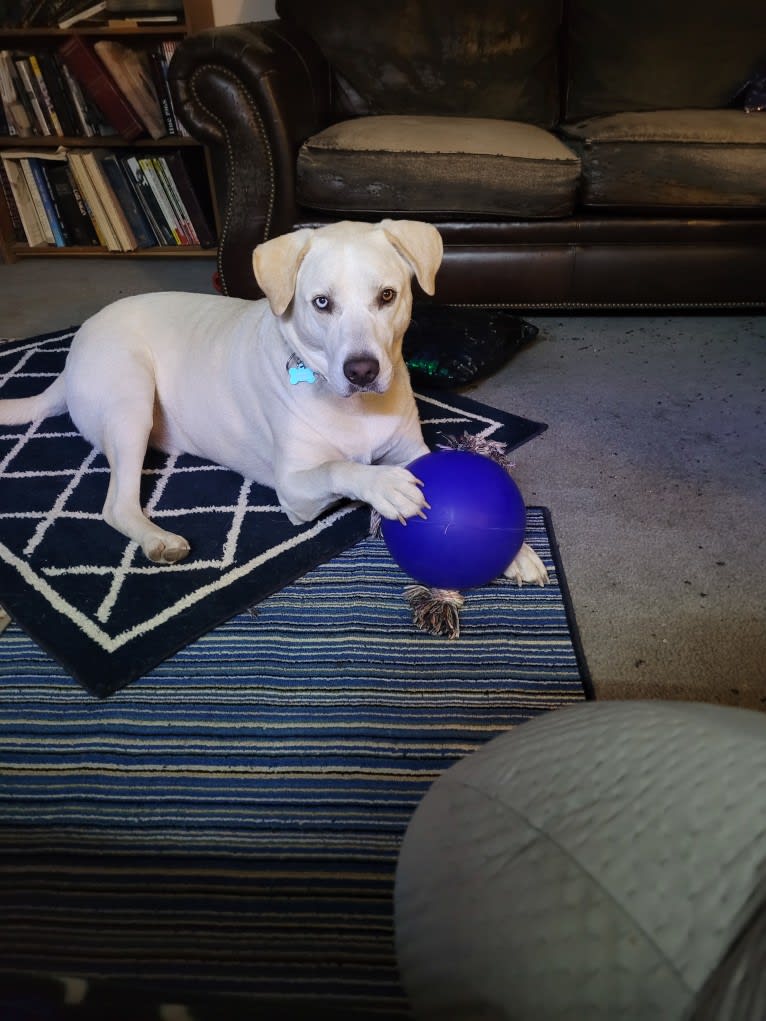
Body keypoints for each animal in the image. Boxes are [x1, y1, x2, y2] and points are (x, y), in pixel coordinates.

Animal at [1, 221, 551, 592]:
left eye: (387, 296)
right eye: (321, 303)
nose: (362, 371)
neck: (355, 408)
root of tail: (74, 350)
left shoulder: (411, 449)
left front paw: (517, 549)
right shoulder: (296, 488)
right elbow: (340, 467)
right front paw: (385, 487)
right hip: (130, 396)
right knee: (116, 503)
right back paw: (158, 539)